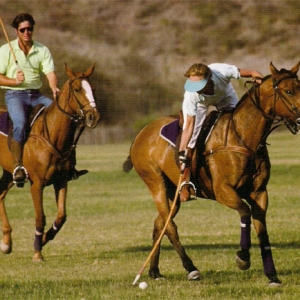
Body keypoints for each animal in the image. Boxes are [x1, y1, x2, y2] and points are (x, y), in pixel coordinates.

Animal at [0, 63, 101, 260]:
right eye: (77, 89)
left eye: (92, 88)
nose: (94, 116)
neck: (53, 137)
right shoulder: (36, 184)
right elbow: (41, 217)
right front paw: (37, 252)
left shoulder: (61, 181)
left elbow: (61, 216)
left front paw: (45, 239)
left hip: (8, 172)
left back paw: (6, 243)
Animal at [123, 62, 300, 286]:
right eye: (289, 91)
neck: (243, 138)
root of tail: (140, 134)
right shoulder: (223, 190)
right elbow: (245, 212)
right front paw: (243, 258)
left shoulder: (260, 192)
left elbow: (263, 231)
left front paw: (272, 275)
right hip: (156, 184)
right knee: (170, 227)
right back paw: (191, 269)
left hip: (174, 194)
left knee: (159, 225)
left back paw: (154, 271)